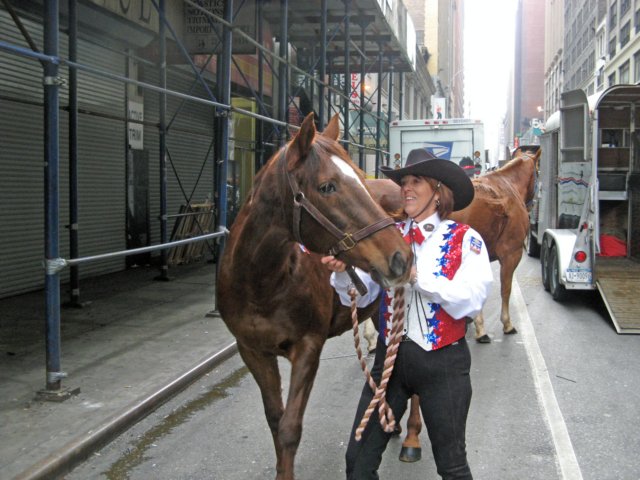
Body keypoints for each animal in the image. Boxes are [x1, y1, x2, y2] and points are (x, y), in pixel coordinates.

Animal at [218, 113, 412, 480]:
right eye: (327, 187)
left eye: (360, 178)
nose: (401, 256)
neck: (262, 283)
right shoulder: (253, 351)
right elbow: (275, 420)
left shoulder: (308, 347)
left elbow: (290, 428)